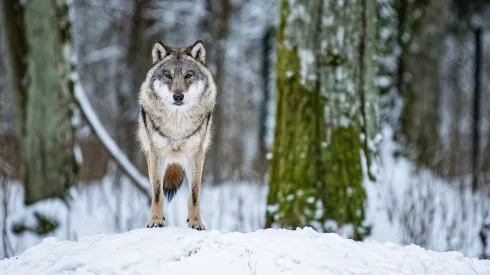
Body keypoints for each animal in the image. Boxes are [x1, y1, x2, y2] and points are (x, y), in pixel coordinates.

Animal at [137, 41, 215, 231]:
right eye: (168, 75)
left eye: (188, 75)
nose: (178, 96)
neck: (177, 126)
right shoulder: (157, 155)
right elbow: (157, 193)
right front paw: (156, 221)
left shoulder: (196, 155)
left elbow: (194, 194)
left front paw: (196, 222)